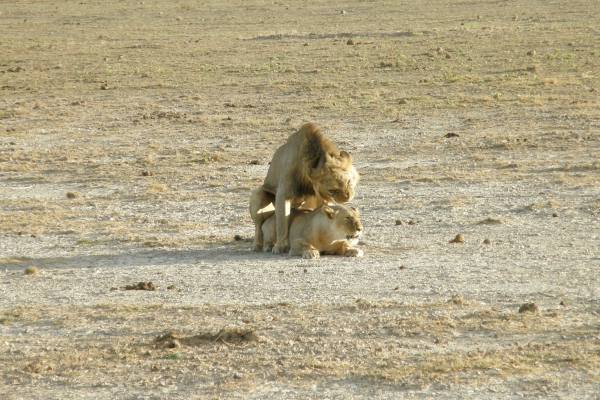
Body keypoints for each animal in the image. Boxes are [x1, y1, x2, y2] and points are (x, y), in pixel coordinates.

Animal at [250, 122, 358, 253]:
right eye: (332, 190)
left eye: (349, 182)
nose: (348, 198)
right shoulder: (283, 193)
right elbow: (282, 221)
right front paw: (281, 246)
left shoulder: (322, 198)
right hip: (257, 195)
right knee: (258, 226)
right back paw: (257, 245)